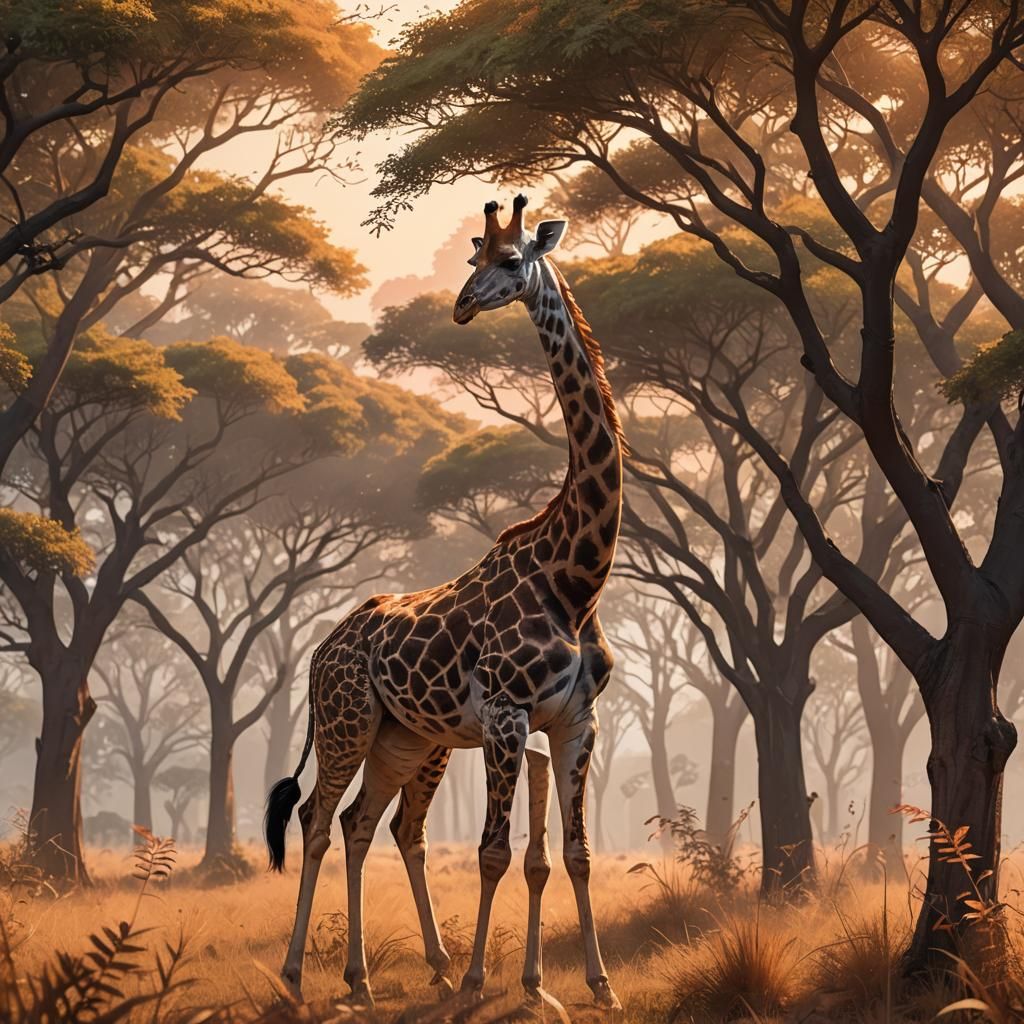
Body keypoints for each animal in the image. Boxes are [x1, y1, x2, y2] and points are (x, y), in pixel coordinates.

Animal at [264, 193, 625, 1011]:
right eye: (472, 259)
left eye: (511, 259)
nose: (461, 305)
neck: (576, 577)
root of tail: (320, 652)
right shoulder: (506, 716)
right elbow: (492, 853)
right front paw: (475, 983)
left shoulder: (577, 721)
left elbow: (580, 853)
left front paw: (600, 985)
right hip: (347, 725)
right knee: (316, 820)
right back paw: (299, 974)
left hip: (407, 740)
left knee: (372, 825)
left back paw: (365, 979)